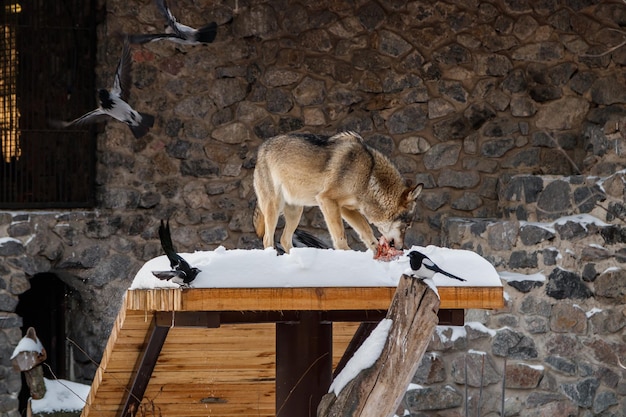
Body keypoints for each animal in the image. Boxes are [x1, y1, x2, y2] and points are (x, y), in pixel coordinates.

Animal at [251, 132, 422, 252]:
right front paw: (347, 253)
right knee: (267, 239)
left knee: (284, 240)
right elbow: (340, 235)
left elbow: (366, 230)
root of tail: (261, 149)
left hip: (296, 212)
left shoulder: (346, 208)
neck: (368, 175)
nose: (401, 248)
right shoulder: (327, 201)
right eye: (407, 225)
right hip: (274, 207)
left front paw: (376, 251)